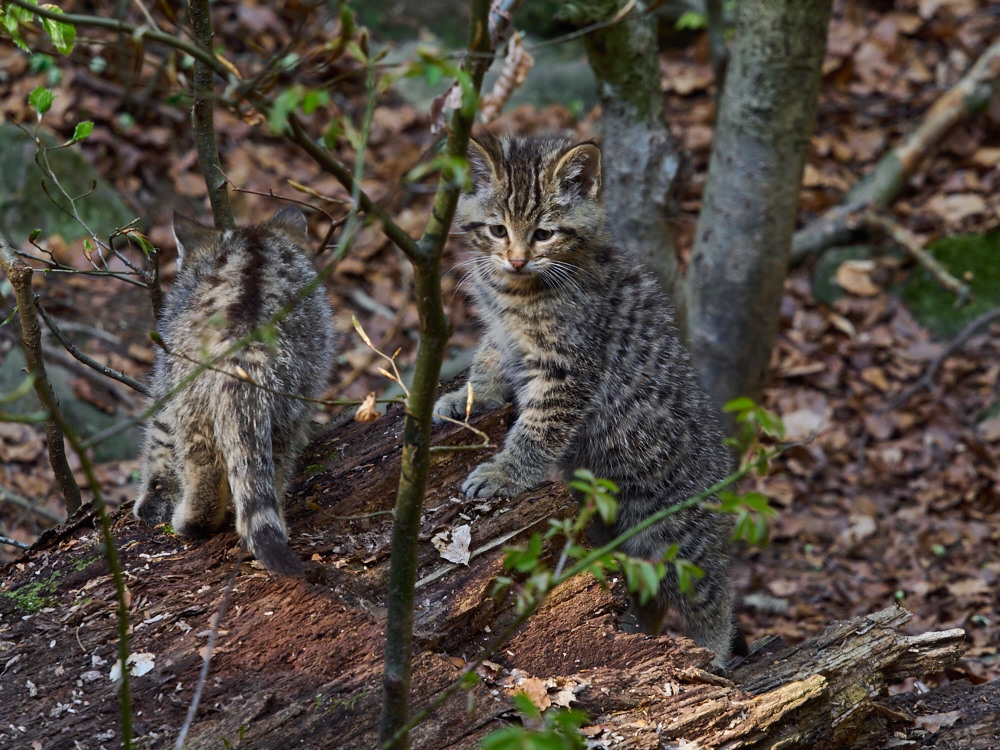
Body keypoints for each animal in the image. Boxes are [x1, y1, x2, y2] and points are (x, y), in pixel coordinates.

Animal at [131, 209, 336, 580]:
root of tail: (246, 339)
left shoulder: (167, 378)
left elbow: (159, 438)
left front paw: (153, 497)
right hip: (293, 395)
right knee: (273, 461)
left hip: (191, 394)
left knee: (204, 466)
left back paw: (193, 520)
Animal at [434, 135, 748, 668]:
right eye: (498, 230)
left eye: (543, 234)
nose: (516, 259)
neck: (517, 290)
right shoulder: (501, 334)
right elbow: (489, 362)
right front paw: (467, 399)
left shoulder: (569, 369)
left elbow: (538, 430)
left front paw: (504, 474)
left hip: (672, 530)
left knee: (710, 591)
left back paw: (712, 654)